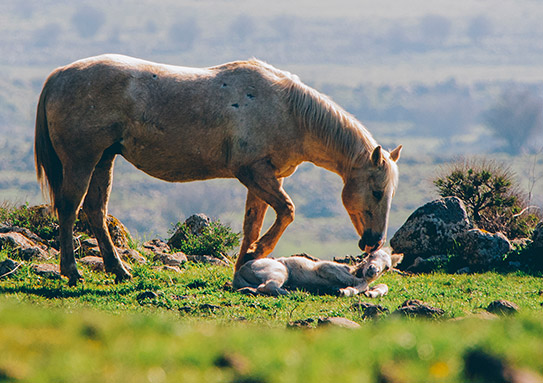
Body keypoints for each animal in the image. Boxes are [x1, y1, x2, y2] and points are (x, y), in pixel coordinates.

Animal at [33, 55, 400, 286]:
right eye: (377, 191)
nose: (373, 241)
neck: (287, 111)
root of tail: (59, 75)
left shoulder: (263, 179)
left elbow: (253, 225)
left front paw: (245, 265)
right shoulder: (254, 173)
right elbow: (287, 212)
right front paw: (257, 253)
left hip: (103, 159)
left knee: (95, 211)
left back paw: (119, 270)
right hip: (81, 160)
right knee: (69, 208)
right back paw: (72, 272)